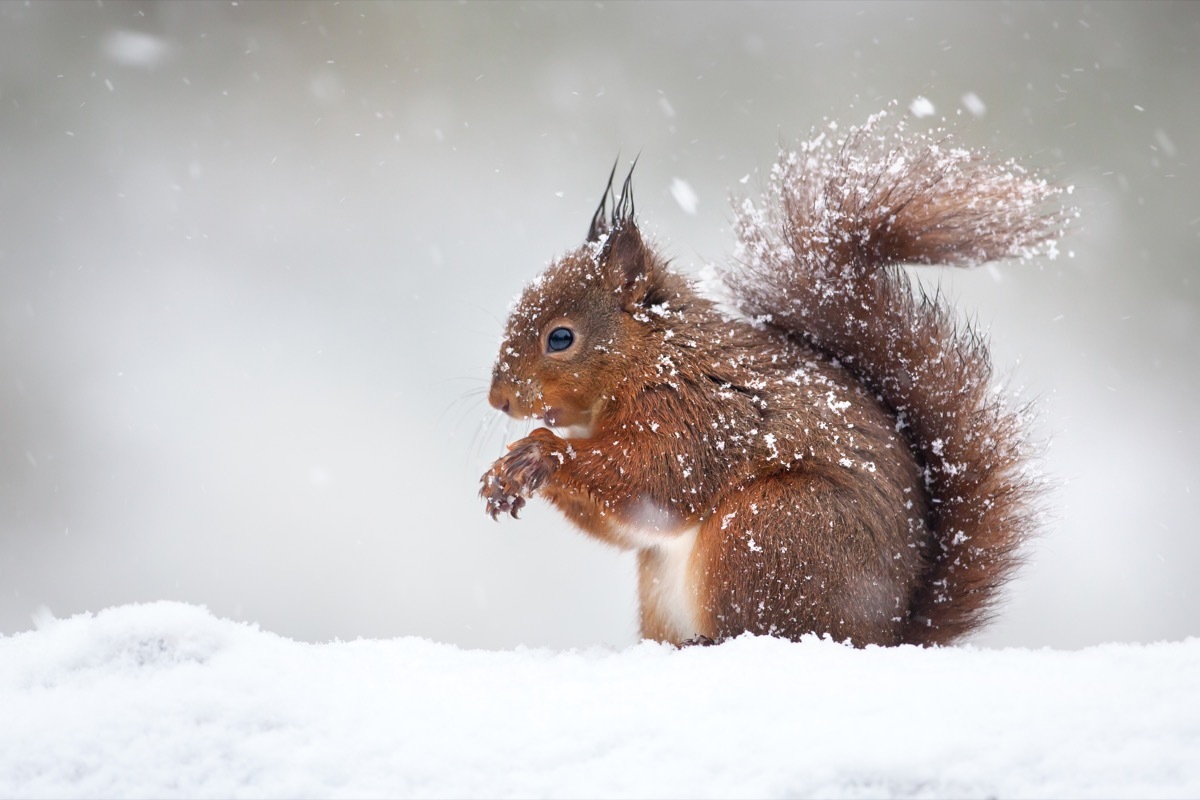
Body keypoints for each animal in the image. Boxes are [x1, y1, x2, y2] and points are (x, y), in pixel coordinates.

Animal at [480, 112, 1068, 647]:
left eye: (560, 338)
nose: (498, 400)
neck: (653, 356)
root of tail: (886, 634)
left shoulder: (697, 412)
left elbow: (653, 481)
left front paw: (539, 453)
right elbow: (624, 524)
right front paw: (505, 475)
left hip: (771, 529)